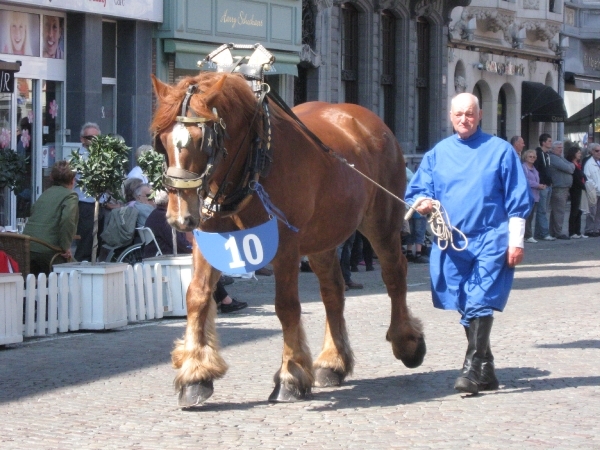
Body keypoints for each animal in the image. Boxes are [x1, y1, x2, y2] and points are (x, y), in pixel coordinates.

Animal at [152, 71, 424, 408]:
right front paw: (195, 374)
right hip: (324, 237)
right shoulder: (210, 241)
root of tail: (369, 121)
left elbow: (286, 306)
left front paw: (290, 376)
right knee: (333, 291)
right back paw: (333, 362)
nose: (180, 217)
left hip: (382, 224)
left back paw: (406, 341)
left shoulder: (285, 247)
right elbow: (198, 297)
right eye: (162, 141)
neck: (253, 162)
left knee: (394, 275)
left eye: (204, 140)